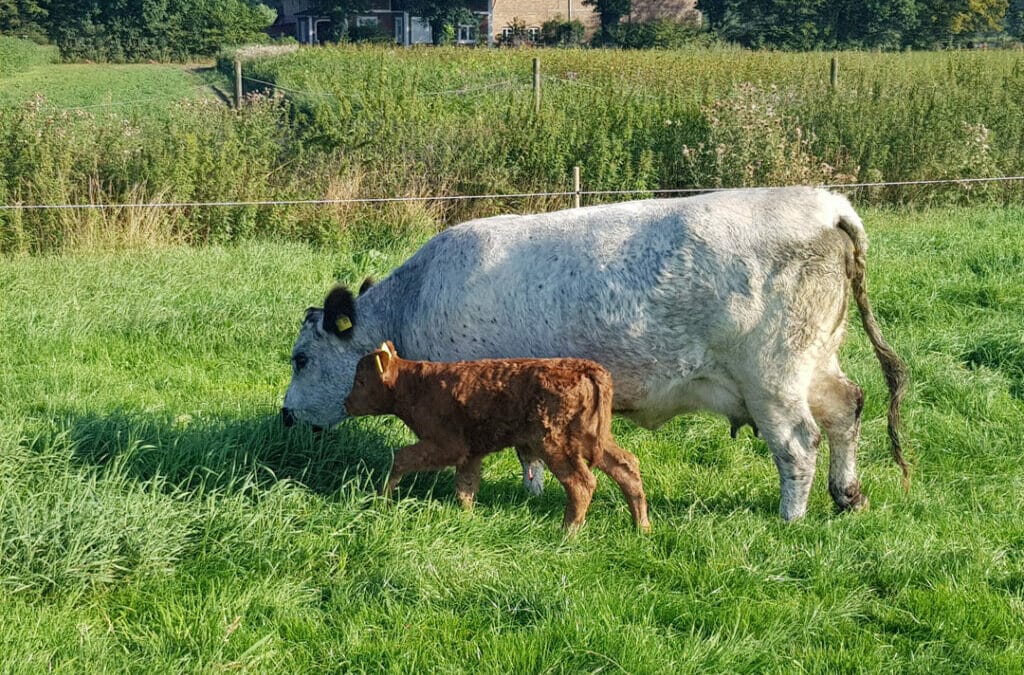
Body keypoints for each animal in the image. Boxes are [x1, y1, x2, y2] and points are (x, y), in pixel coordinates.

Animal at [344, 344, 647, 532]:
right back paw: (642, 528)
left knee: (582, 483)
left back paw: (567, 533)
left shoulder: (447, 445)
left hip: (554, 443)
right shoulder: (470, 453)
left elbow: (402, 457)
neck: (416, 384)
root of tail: (585, 368)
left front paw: (383, 498)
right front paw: (467, 517)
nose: (346, 403)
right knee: (627, 466)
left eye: (360, 381)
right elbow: (465, 487)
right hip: (593, 438)